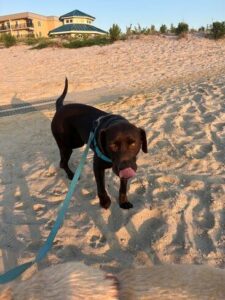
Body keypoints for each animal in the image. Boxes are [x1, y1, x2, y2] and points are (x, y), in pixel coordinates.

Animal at [51, 78, 149, 209]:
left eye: (133, 144)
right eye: (112, 145)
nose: (125, 168)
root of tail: (60, 108)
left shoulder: (126, 165)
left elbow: (123, 187)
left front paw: (123, 201)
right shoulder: (97, 166)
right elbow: (101, 186)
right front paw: (104, 201)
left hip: (78, 142)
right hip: (68, 145)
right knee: (62, 162)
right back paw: (71, 175)